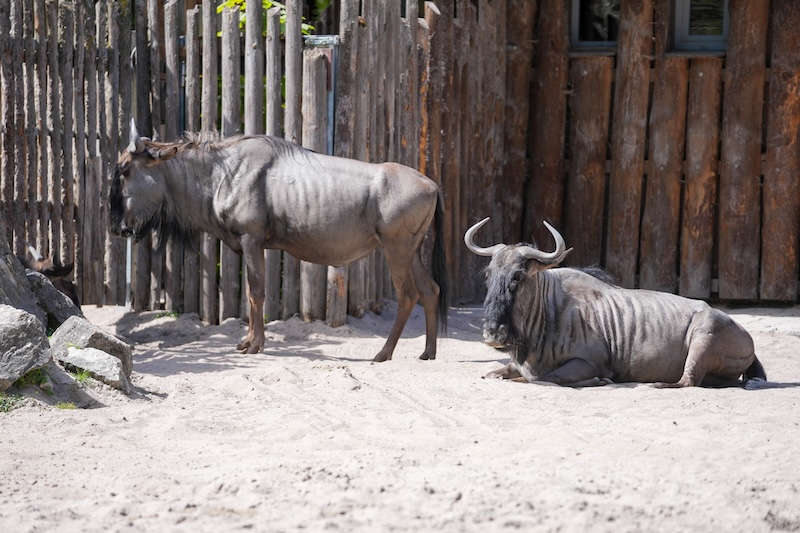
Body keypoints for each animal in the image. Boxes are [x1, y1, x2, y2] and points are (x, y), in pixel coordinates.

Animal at [465, 217, 766, 387]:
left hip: (702, 339)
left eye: (518, 276)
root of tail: (746, 336)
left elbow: (543, 378)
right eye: (488, 274)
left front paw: (599, 381)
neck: (549, 314)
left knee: (687, 381)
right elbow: (496, 373)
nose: (492, 334)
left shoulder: (588, 362)